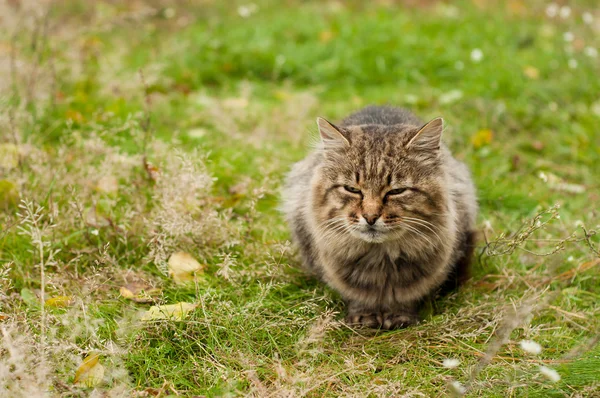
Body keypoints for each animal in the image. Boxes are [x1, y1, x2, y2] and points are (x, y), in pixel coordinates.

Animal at [282, 105, 478, 330]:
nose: (370, 216)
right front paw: (365, 316)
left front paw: (399, 316)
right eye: (352, 189)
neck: (380, 258)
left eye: (396, 191)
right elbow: (358, 297)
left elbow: (406, 298)